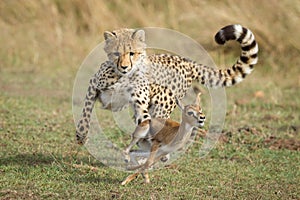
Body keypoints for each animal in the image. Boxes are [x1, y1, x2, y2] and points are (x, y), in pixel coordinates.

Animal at [75, 24, 258, 148]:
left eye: (132, 53)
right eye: (116, 54)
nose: (125, 67)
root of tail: (185, 61)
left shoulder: (141, 105)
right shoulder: (93, 84)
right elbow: (85, 111)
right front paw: (81, 135)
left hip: (161, 107)